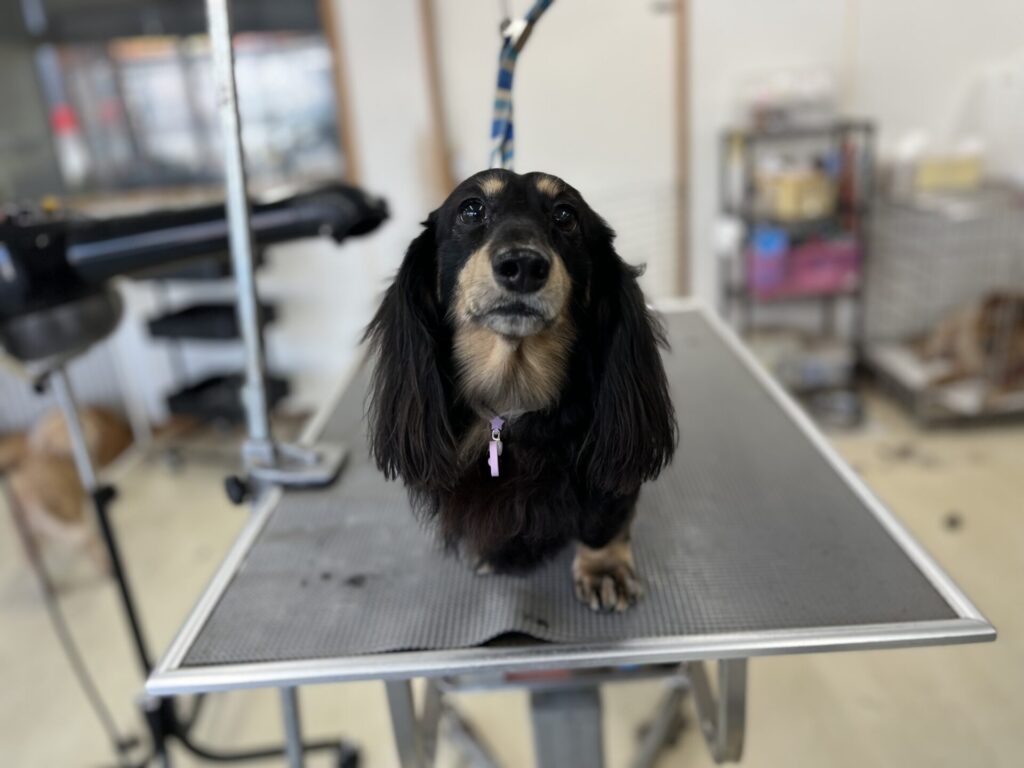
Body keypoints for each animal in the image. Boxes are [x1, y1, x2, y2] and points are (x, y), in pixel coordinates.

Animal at [365, 169, 677, 612]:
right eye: (471, 209)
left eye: (565, 215)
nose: (524, 265)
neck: (512, 395)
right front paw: (495, 552)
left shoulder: (611, 455)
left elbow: (604, 516)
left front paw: (604, 568)